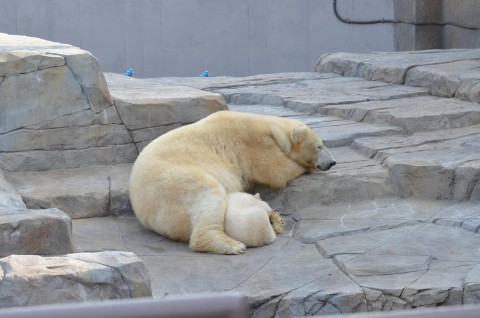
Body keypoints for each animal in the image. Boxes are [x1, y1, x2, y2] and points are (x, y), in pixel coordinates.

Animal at [129, 110, 336, 255]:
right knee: (208, 194)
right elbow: (276, 170)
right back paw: (231, 245)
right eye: (320, 146)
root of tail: (140, 207)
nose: (332, 162)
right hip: (173, 183)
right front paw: (307, 167)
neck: (268, 125)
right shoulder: (255, 142)